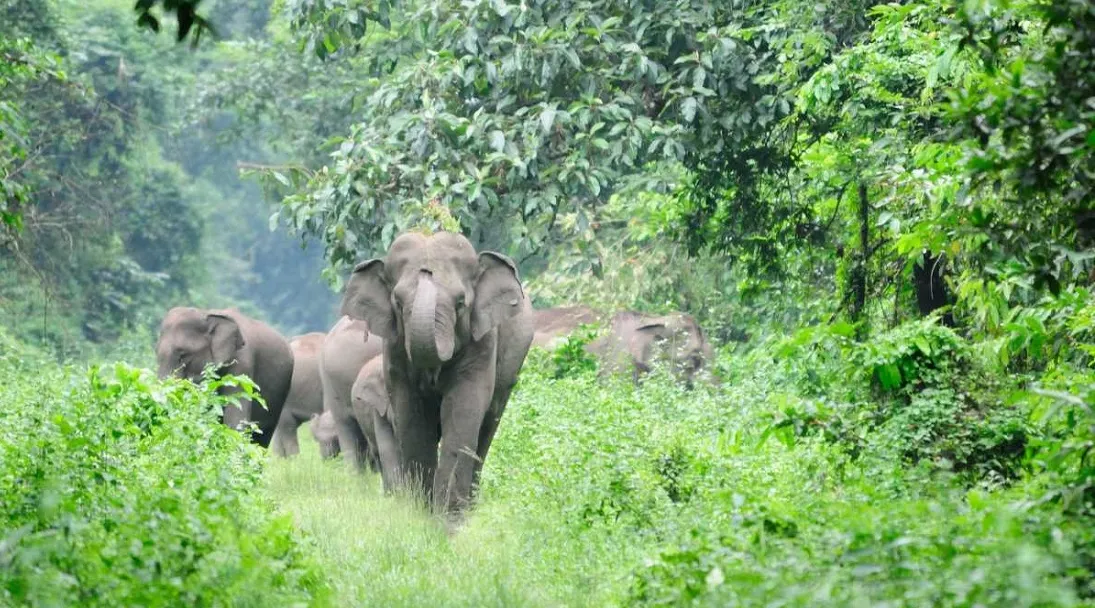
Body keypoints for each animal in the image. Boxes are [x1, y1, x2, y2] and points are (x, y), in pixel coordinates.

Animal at [339, 231, 532, 521]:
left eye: (461, 303)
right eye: (398, 302)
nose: (426, 271)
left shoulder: (483, 342)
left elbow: (463, 411)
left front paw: (449, 519)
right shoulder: (394, 350)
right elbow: (411, 416)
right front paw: (422, 514)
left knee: (487, 428)